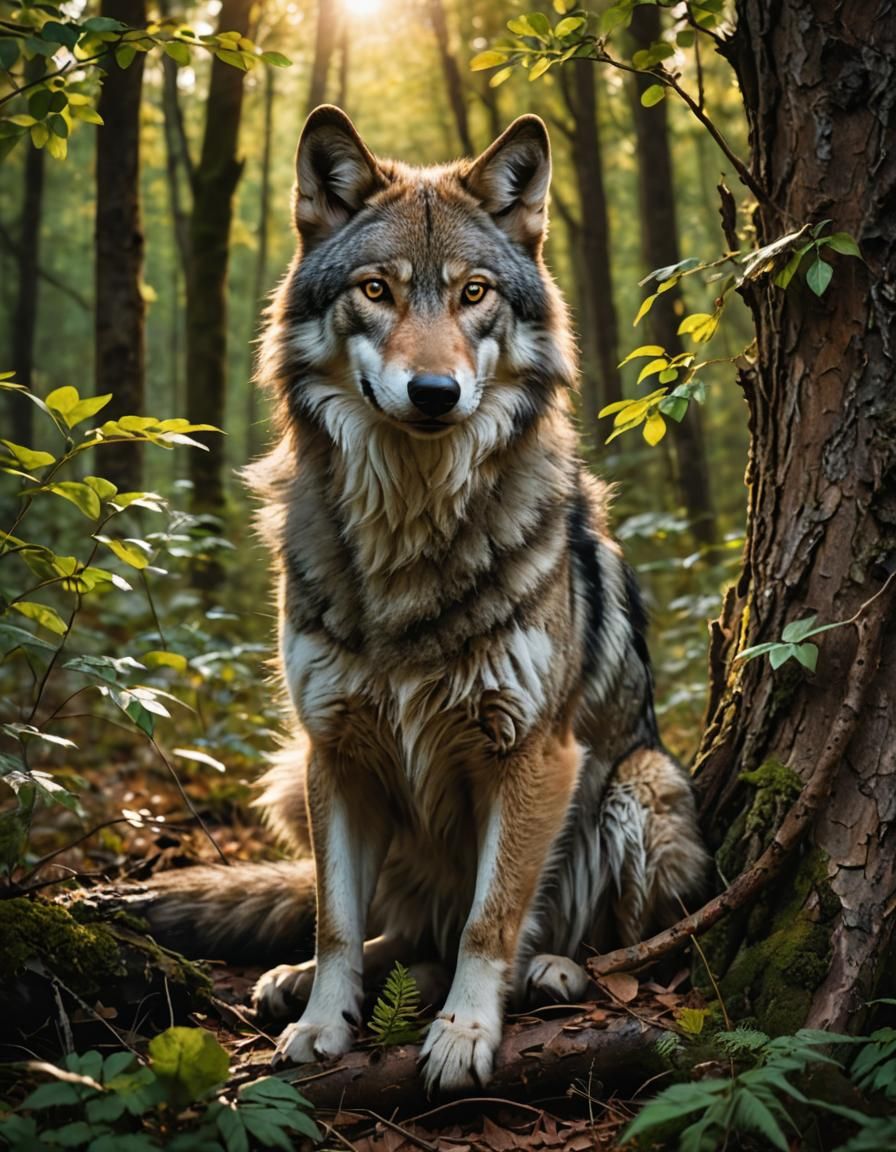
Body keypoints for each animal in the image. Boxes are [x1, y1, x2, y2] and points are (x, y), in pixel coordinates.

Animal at [132, 105, 706, 1094]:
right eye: (377, 290)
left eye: (475, 293)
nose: (435, 393)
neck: (411, 523)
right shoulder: (333, 749)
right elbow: (334, 921)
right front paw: (324, 1022)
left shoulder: (531, 755)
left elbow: (490, 917)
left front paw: (467, 1033)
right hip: (288, 776)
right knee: (402, 931)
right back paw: (300, 978)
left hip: (641, 788)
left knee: (597, 936)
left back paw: (554, 971)